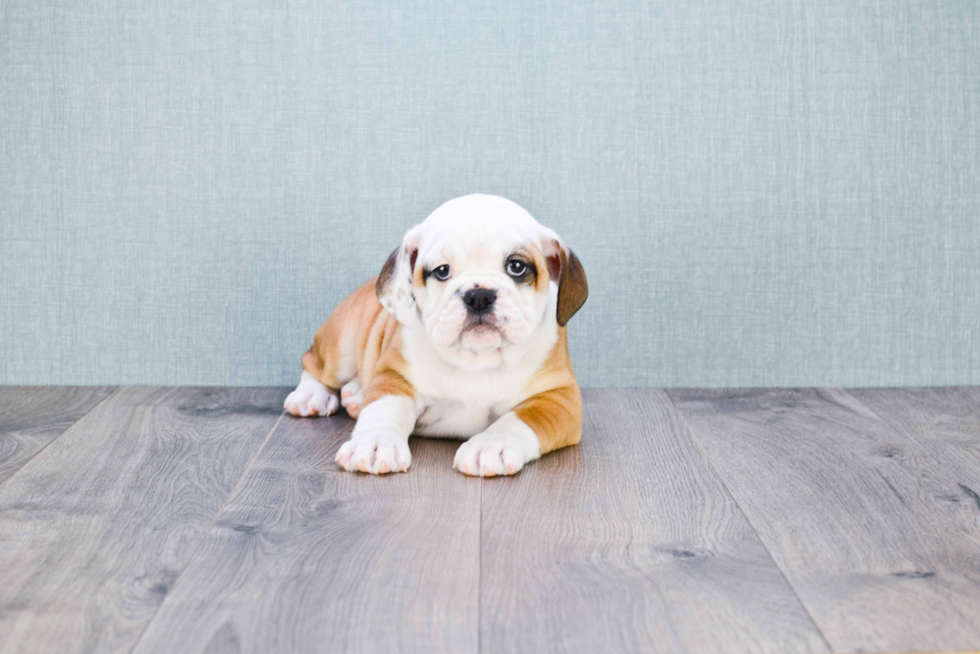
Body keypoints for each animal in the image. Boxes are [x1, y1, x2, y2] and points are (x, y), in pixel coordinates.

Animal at [284, 195, 588, 476]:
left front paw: (491, 445)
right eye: (442, 271)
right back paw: (311, 395)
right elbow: (384, 409)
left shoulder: (558, 398)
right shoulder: (396, 378)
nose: (479, 295)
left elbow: (519, 419)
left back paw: (355, 395)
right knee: (315, 364)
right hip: (342, 343)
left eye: (517, 266)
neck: (478, 360)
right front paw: (375, 442)